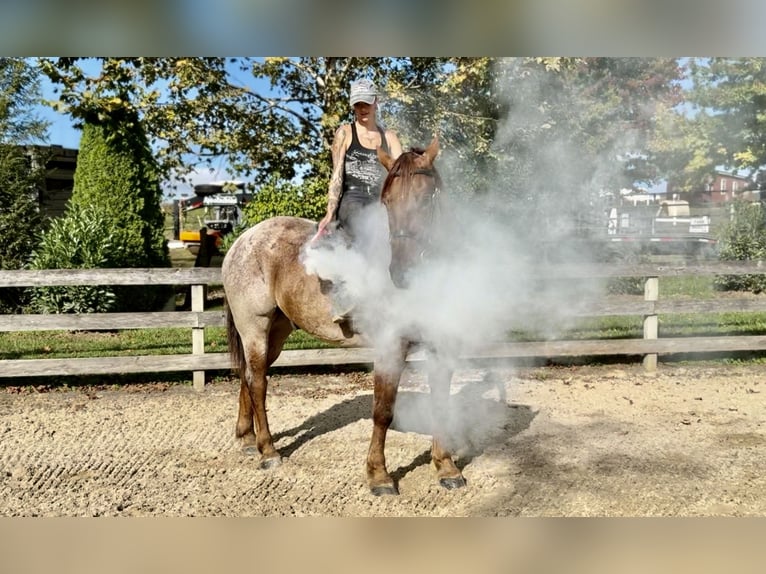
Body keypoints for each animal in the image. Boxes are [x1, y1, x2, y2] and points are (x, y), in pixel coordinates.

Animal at [222, 136, 466, 495]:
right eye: (387, 202)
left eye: (425, 199)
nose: (401, 271)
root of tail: (242, 240)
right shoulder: (390, 347)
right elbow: (383, 410)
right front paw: (378, 475)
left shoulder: (441, 345)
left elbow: (440, 404)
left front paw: (446, 467)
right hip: (254, 326)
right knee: (258, 382)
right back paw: (268, 451)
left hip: (275, 332)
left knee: (249, 375)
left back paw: (246, 438)